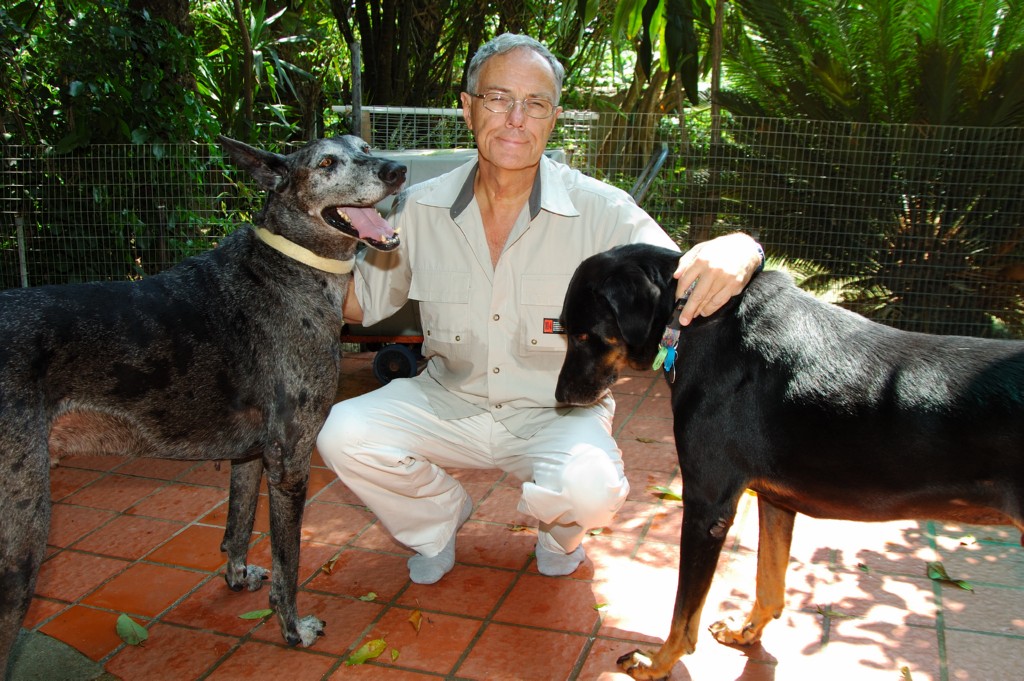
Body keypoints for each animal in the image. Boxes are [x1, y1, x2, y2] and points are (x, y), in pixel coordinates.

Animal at [0, 135, 405, 675]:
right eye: (325, 162)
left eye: (365, 145)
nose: (398, 170)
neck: (290, 262)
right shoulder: (291, 464)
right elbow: (289, 562)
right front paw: (292, 629)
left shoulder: (250, 457)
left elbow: (237, 526)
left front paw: (237, 578)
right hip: (21, 537)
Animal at [555, 243, 1024, 680]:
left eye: (583, 335)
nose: (559, 399)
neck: (691, 320)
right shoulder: (775, 500)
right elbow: (770, 582)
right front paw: (746, 633)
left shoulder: (708, 507)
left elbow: (683, 617)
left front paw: (656, 663)